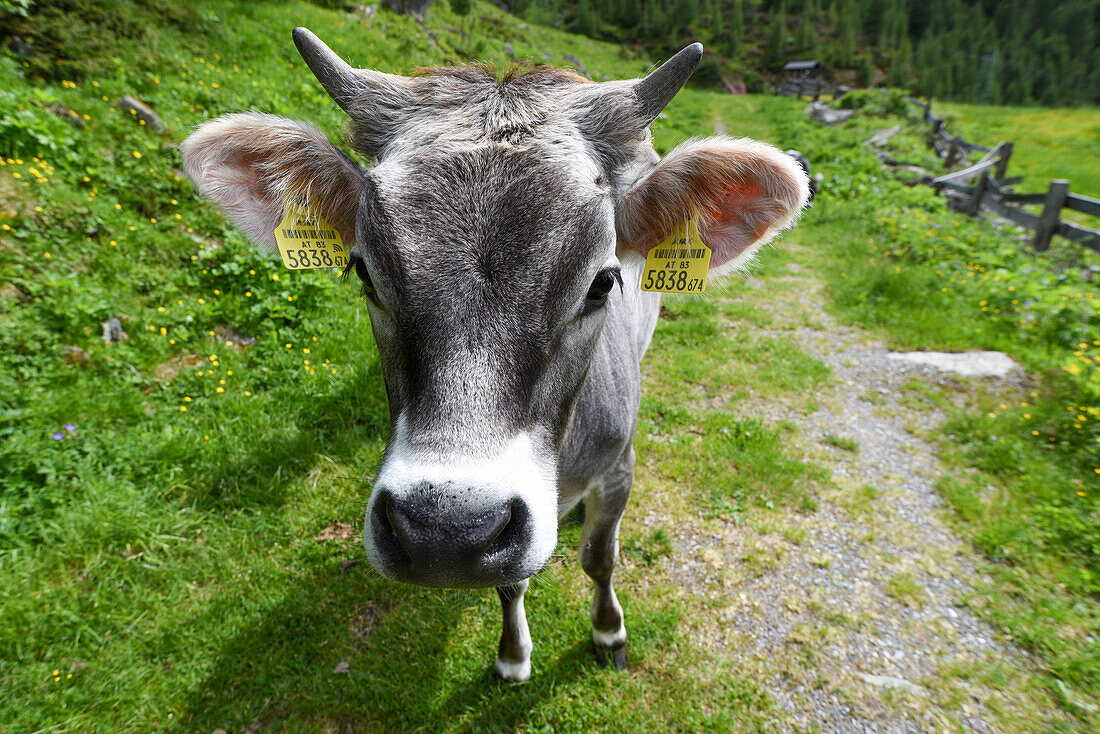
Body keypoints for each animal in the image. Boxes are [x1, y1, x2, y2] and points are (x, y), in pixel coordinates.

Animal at [184, 28, 809, 682]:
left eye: (603, 282)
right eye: (365, 273)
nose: (445, 532)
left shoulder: (620, 465)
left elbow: (601, 558)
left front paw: (608, 632)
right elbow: (512, 582)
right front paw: (512, 656)